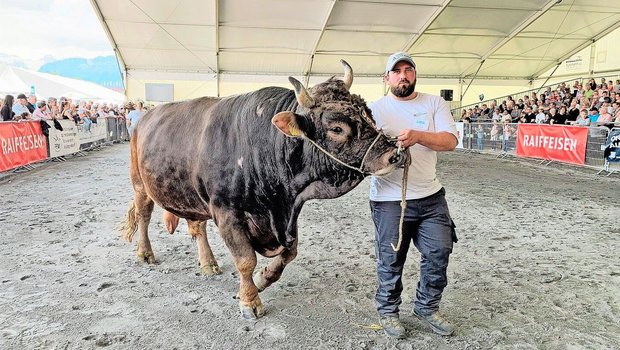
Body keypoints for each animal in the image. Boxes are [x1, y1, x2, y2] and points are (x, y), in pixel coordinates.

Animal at [121, 60, 406, 320]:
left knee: (197, 226)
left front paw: (263, 279)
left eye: (369, 115)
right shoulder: (227, 212)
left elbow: (290, 252)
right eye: (337, 128)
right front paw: (249, 301)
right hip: (140, 183)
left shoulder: (288, 216)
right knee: (144, 215)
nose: (394, 154)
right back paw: (145, 253)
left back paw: (208, 263)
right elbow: (246, 260)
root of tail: (144, 117)